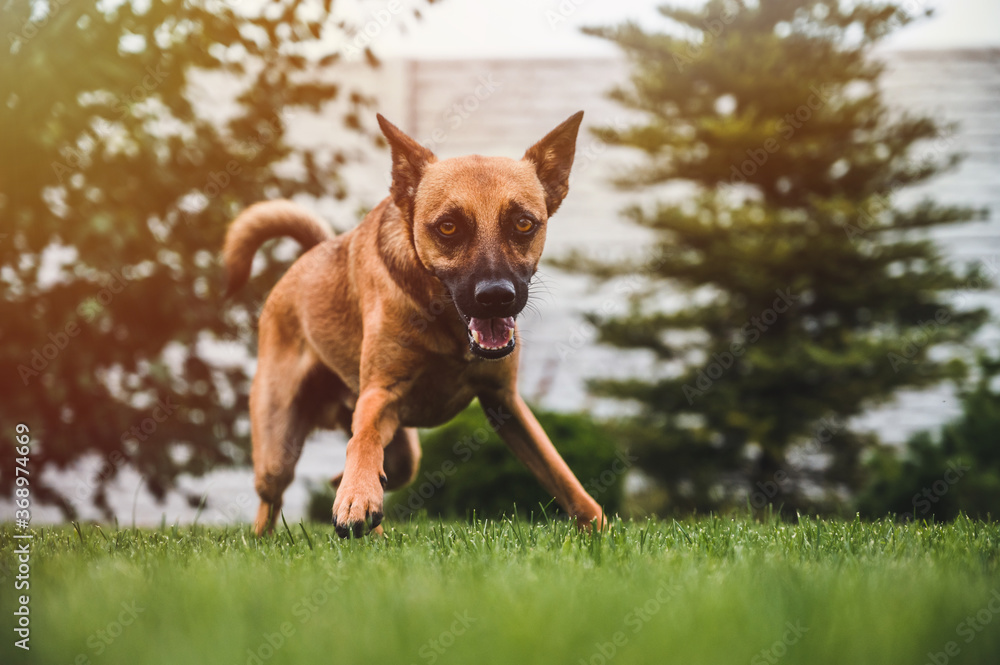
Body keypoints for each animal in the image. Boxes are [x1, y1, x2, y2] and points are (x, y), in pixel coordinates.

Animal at [224, 109, 604, 536]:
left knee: (380, 471)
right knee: (271, 500)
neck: (446, 324)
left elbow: (560, 473)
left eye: (523, 223)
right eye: (448, 227)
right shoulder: (379, 395)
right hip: (277, 450)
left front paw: (597, 526)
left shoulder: (504, 402)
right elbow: (363, 440)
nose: (495, 296)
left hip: (405, 453)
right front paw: (357, 496)